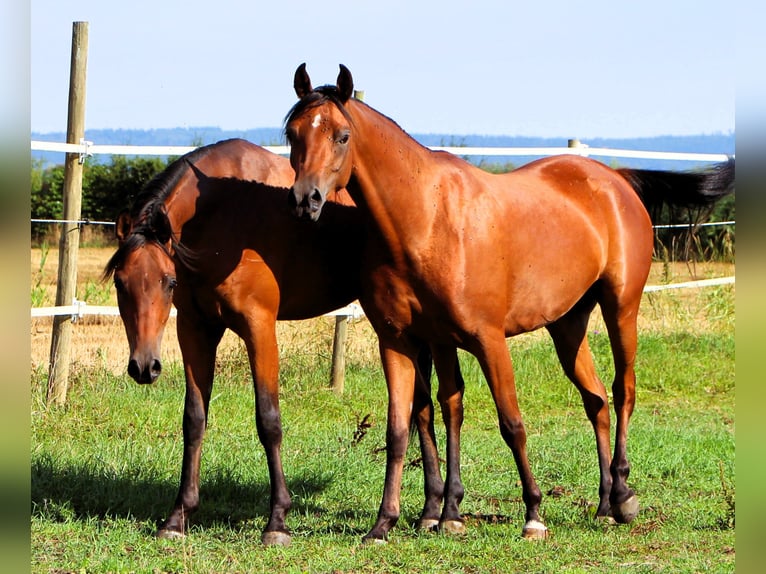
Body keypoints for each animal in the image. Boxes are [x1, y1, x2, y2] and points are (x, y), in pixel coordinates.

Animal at [103, 138, 451, 546]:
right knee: (422, 409)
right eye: (120, 283)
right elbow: (194, 419)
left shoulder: (260, 328)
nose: (144, 366)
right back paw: (430, 509)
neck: (221, 213)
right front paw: (177, 518)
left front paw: (277, 521)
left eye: (167, 281)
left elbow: (269, 420)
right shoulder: (195, 328)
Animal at [284, 64, 735, 543]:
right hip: (567, 325)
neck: (424, 219)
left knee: (622, 391)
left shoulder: (489, 339)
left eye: (342, 135)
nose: (306, 199)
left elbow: (510, 422)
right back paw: (604, 505)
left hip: (622, 309)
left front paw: (532, 514)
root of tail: (615, 179)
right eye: (293, 134)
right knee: (595, 400)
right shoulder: (404, 340)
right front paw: (393, 521)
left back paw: (625, 495)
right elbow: (409, 425)